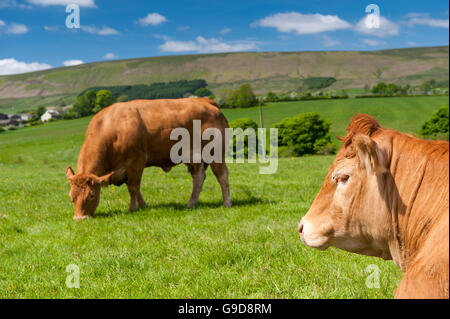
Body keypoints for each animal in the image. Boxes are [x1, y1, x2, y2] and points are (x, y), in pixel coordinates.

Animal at [65, 99, 232, 221]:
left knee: (222, 176)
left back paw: (226, 203)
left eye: (91, 195)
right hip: (194, 157)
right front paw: (143, 206)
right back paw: (191, 204)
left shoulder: (136, 162)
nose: (79, 219)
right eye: (71, 196)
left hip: (215, 153)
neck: (109, 129)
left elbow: (133, 188)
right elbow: (135, 189)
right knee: (198, 178)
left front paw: (132, 208)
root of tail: (206, 101)